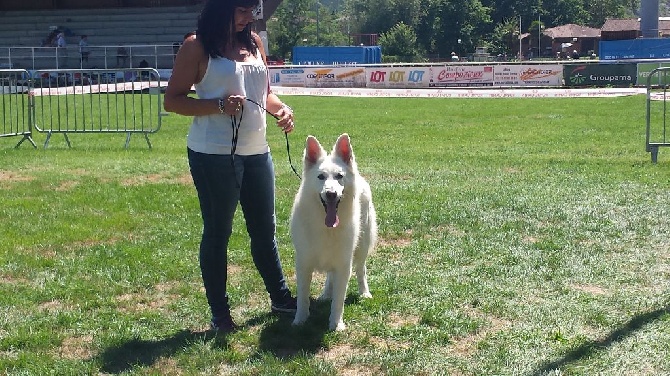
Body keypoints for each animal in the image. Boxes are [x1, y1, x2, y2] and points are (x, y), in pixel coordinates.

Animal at [292, 134, 380, 330]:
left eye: (339, 176)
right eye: (321, 177)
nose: (331, 194)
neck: (326, 227)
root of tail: (359, 177)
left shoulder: (344, 265)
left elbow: (339, 300)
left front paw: (336, 324)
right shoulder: (303, 264)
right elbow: (302, 297)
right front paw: (300, 320)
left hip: (361, 247)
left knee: (361, 270)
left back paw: (364, 293)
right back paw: (326, 294)